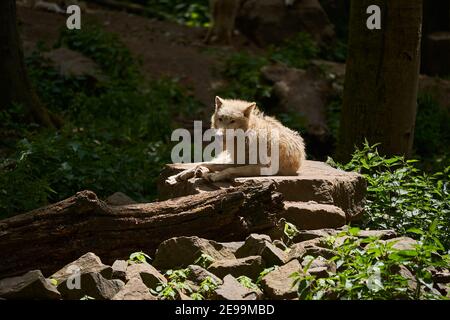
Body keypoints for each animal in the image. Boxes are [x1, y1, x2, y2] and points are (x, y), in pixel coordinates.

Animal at [165, 96, 306, 184]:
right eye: (220, 119)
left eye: (232, 121)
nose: (219, 135)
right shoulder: (237, 161)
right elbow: (209, 164)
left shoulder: (263, 167)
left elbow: (229, 170)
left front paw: (214, 176)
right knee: (204, 163)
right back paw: (181, 175)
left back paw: (200, 173)